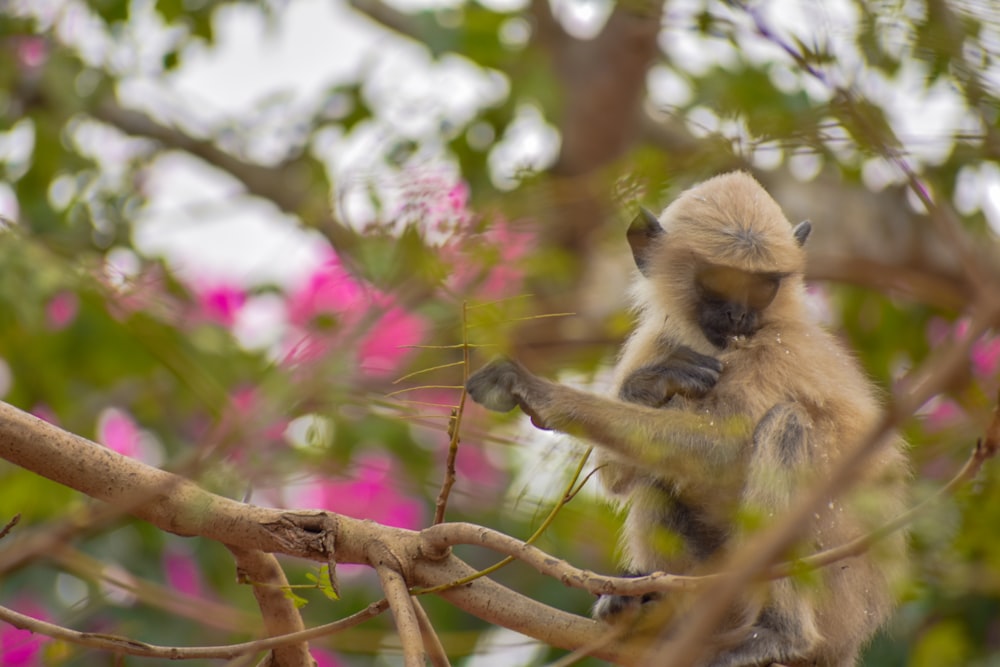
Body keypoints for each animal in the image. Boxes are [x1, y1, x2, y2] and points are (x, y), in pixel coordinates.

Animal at [464, 174, 912, 667]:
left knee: (786, 426)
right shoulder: (658, 340)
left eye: (761, 287)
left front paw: (542, 394)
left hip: (836, 588)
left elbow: (723, 450)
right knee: (658, 478)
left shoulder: (776, 344)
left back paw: (780, 635)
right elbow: (619, 476)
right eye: (717, 281)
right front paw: (653, 382)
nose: (738, 315)